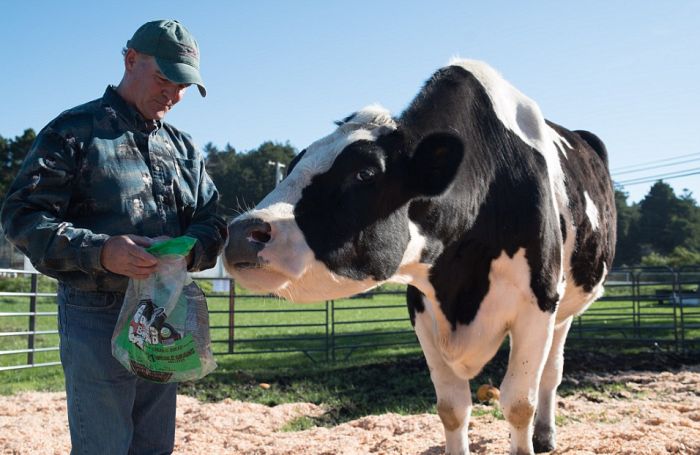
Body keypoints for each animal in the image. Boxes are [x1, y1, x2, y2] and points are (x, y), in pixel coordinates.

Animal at [223, 60, 612, 455]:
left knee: (551, 371)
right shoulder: (422, 309)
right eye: (290, 167)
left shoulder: (537, 306)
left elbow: (518, 403)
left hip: (562, 309)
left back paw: (544, 434)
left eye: (365, 172)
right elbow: (452, 408)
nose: (240, 232)